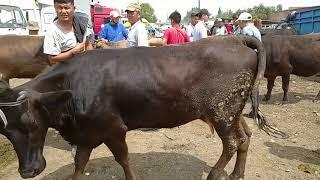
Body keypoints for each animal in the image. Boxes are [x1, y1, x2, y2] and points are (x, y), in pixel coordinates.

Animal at [0, 35, 268, 179]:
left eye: (32, 123)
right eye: (4, 132)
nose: (28, 171)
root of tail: (234, 38)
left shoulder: (113, 129)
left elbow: (123, 160)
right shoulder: (87, 133)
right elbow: (80, 163)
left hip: (222, 112)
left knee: (232, 143)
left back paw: (214, 174)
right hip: (231, 112)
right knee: (244, 138)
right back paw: (236, 173)